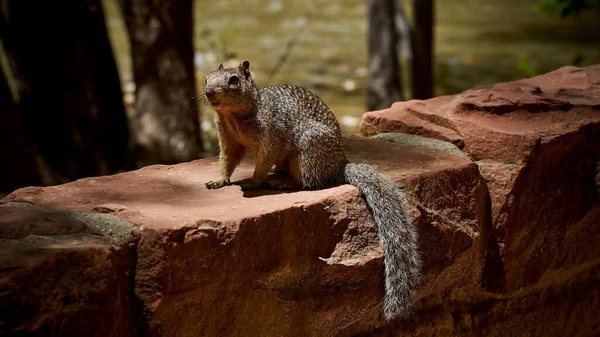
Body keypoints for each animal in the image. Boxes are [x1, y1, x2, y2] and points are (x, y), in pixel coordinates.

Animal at [204, 60, 420, 320]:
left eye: (234, 80)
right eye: (207, 78)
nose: (208, 92)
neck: (234, 115)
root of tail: (339, 164)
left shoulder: (270, 135)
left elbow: (264, 160)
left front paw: (254, 181)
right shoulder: (227, 137)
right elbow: (227, 159)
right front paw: (219, 179)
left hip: (307, 149)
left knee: (308, 181)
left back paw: (284, 182)